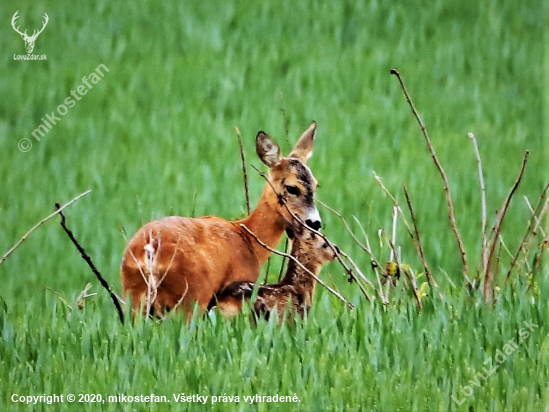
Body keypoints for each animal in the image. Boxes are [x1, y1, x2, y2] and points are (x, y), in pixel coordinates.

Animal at [117, 122, 318, 318]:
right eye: (292, 188)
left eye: (316, 185)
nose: (315, 223)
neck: (248, 239)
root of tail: (150, 252)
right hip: (191, 296)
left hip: (134, 297)